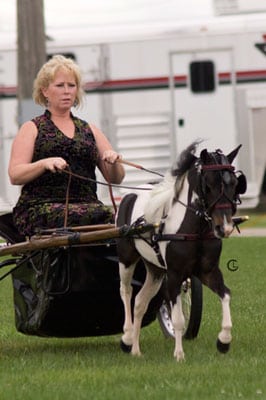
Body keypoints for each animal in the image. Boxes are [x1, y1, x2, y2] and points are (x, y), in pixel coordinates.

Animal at [116, 142, 247, 360]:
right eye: (208, 184)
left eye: (235, 183)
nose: (225, 228)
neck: (195, 231)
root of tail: (130, 195)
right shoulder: (175, 275)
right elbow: (177, 318)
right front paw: (179, 354)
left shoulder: (208, 271)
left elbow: (226, 295)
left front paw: (224, 341)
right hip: (127, 260)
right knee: (126, 292)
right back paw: (126, 337)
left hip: (155, 269)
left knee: (140, 302)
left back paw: (135, 349)